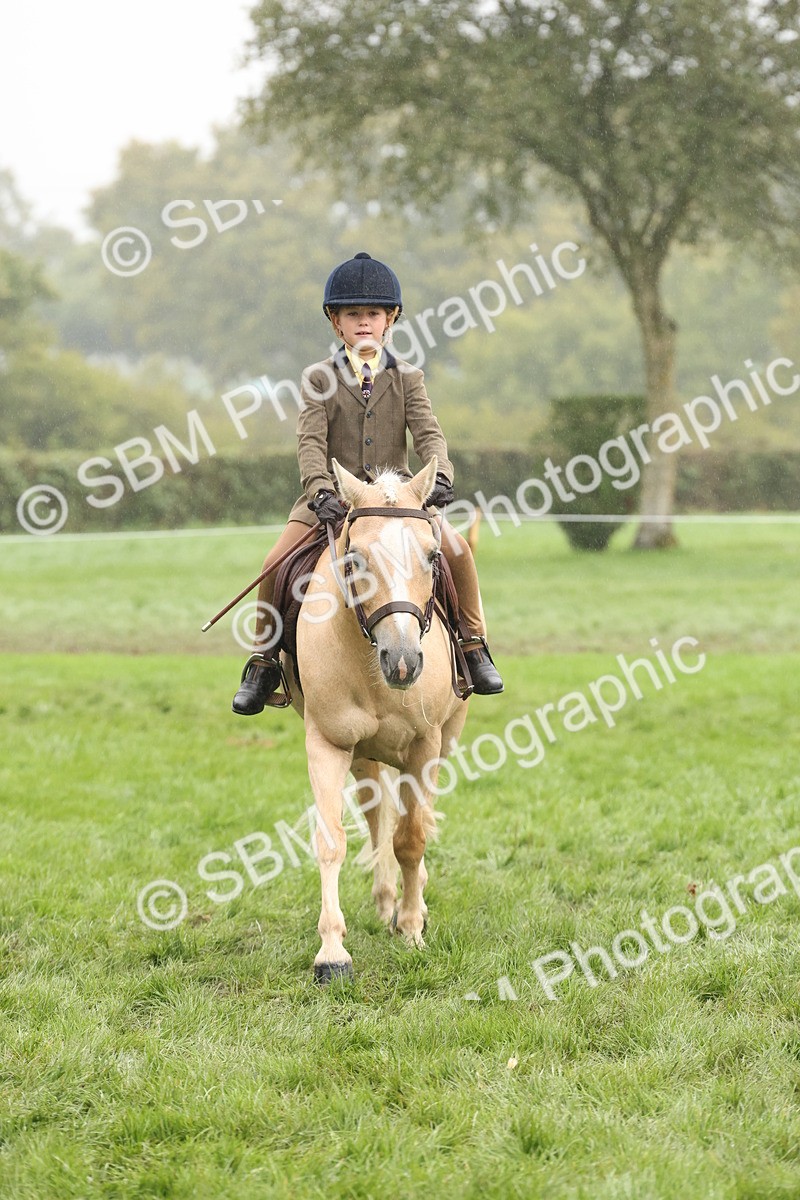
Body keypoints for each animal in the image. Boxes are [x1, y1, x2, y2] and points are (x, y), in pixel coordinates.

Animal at [283, 456, 471, 982]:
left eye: (432, 557)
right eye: (356, 561)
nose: (402, 661)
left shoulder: (426, 746)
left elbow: (412, 838)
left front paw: (411, 931)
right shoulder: (327, 744)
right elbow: (331, 840)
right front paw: (332, 952)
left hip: (443, 741)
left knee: (413, 819)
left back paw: (410, 904)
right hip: (363, 754)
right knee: (374, 812)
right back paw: (386, 900)